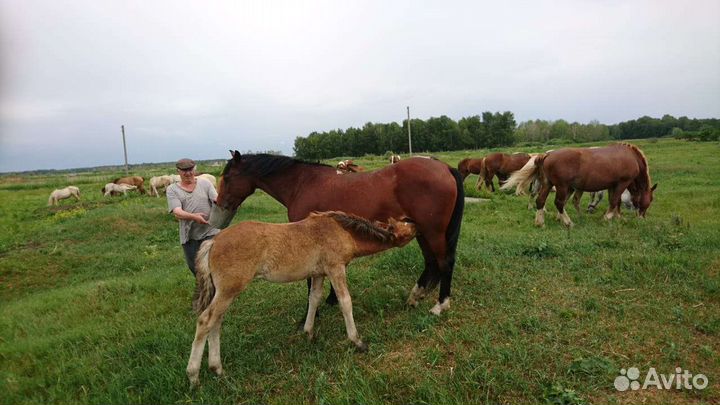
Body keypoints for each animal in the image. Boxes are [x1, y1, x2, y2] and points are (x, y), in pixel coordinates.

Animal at [186, 211, 417, 385]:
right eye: (404, 224)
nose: (416, 222)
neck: (341, 231)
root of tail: (213, 241)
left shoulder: (318, 274)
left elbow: (314, 299)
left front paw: (309, 333)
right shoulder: (335, 268)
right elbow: (345, 302)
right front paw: (357, 341)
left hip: (223, 292)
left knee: (216, 322)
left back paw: (217, 369)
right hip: (229, 290)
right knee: (206, 320)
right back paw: (194, 376)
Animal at [210, 152, 465, 316]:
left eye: (228, 177)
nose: (219, 203)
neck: (302, 183)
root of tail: (444, 167)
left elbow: (311, 281)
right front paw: (331, 300)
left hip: (433, 232)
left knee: (445, 263)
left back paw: (440, 305)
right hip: (421, 232)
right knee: (431, 263)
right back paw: (415, 297)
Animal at [501, 143, 657, 227]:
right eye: (650, 200)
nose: (642, 217)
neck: (632, 158)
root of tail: (547, 155)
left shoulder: (613, 185)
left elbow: (615, 202)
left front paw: (617, 217)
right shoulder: (622, 182)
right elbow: (614, 201)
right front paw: (607, 218)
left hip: (547, 184)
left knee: (540, 201)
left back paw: (540, 222)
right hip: (562, 186)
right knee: (559, 203)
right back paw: (568, 222)